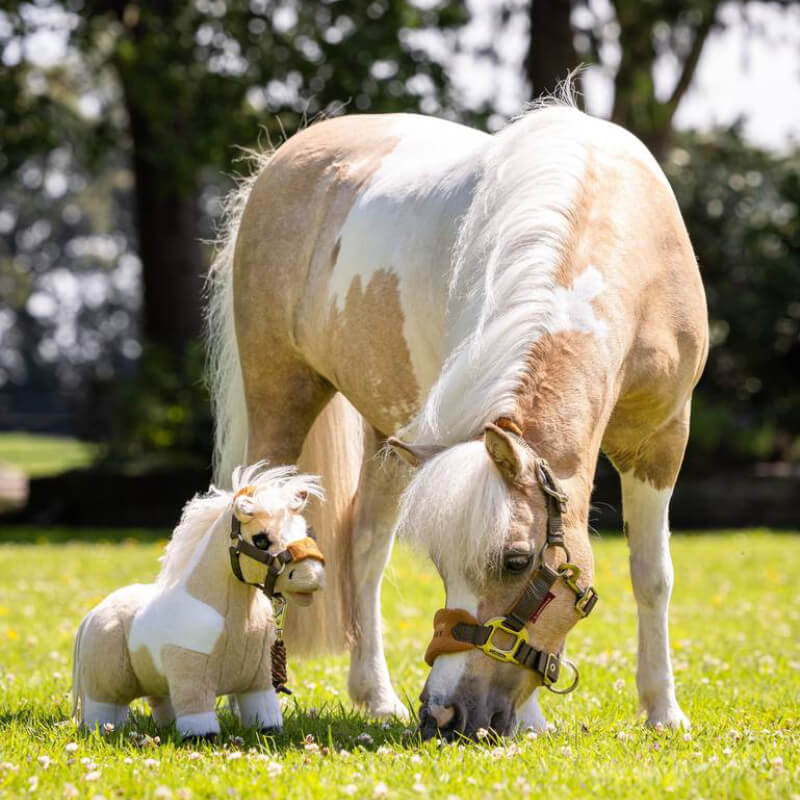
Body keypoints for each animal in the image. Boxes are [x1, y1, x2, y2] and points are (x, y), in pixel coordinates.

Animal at [72, 463, 325, 739]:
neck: (235, 617)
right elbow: (199, 718)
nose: (312, 576)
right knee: (105, 711)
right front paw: (201, 738)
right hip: (106, 687)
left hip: (157, 681)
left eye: (305, 531)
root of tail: (92, 614)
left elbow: (264, 715)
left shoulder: (258, 682)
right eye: (260, 539)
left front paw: (268, 732)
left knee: (161, 702)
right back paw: (103, 731)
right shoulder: (192, 678)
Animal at [206, 87, 708, 738]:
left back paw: (376, 696)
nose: (444, 716)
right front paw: (536, 722)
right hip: (280, 396)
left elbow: (652, 576)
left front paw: (663, 712)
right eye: (444, 566)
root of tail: (281, 161)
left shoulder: (661, 440)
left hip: (391, 435)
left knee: (364, 549)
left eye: (516, 561)